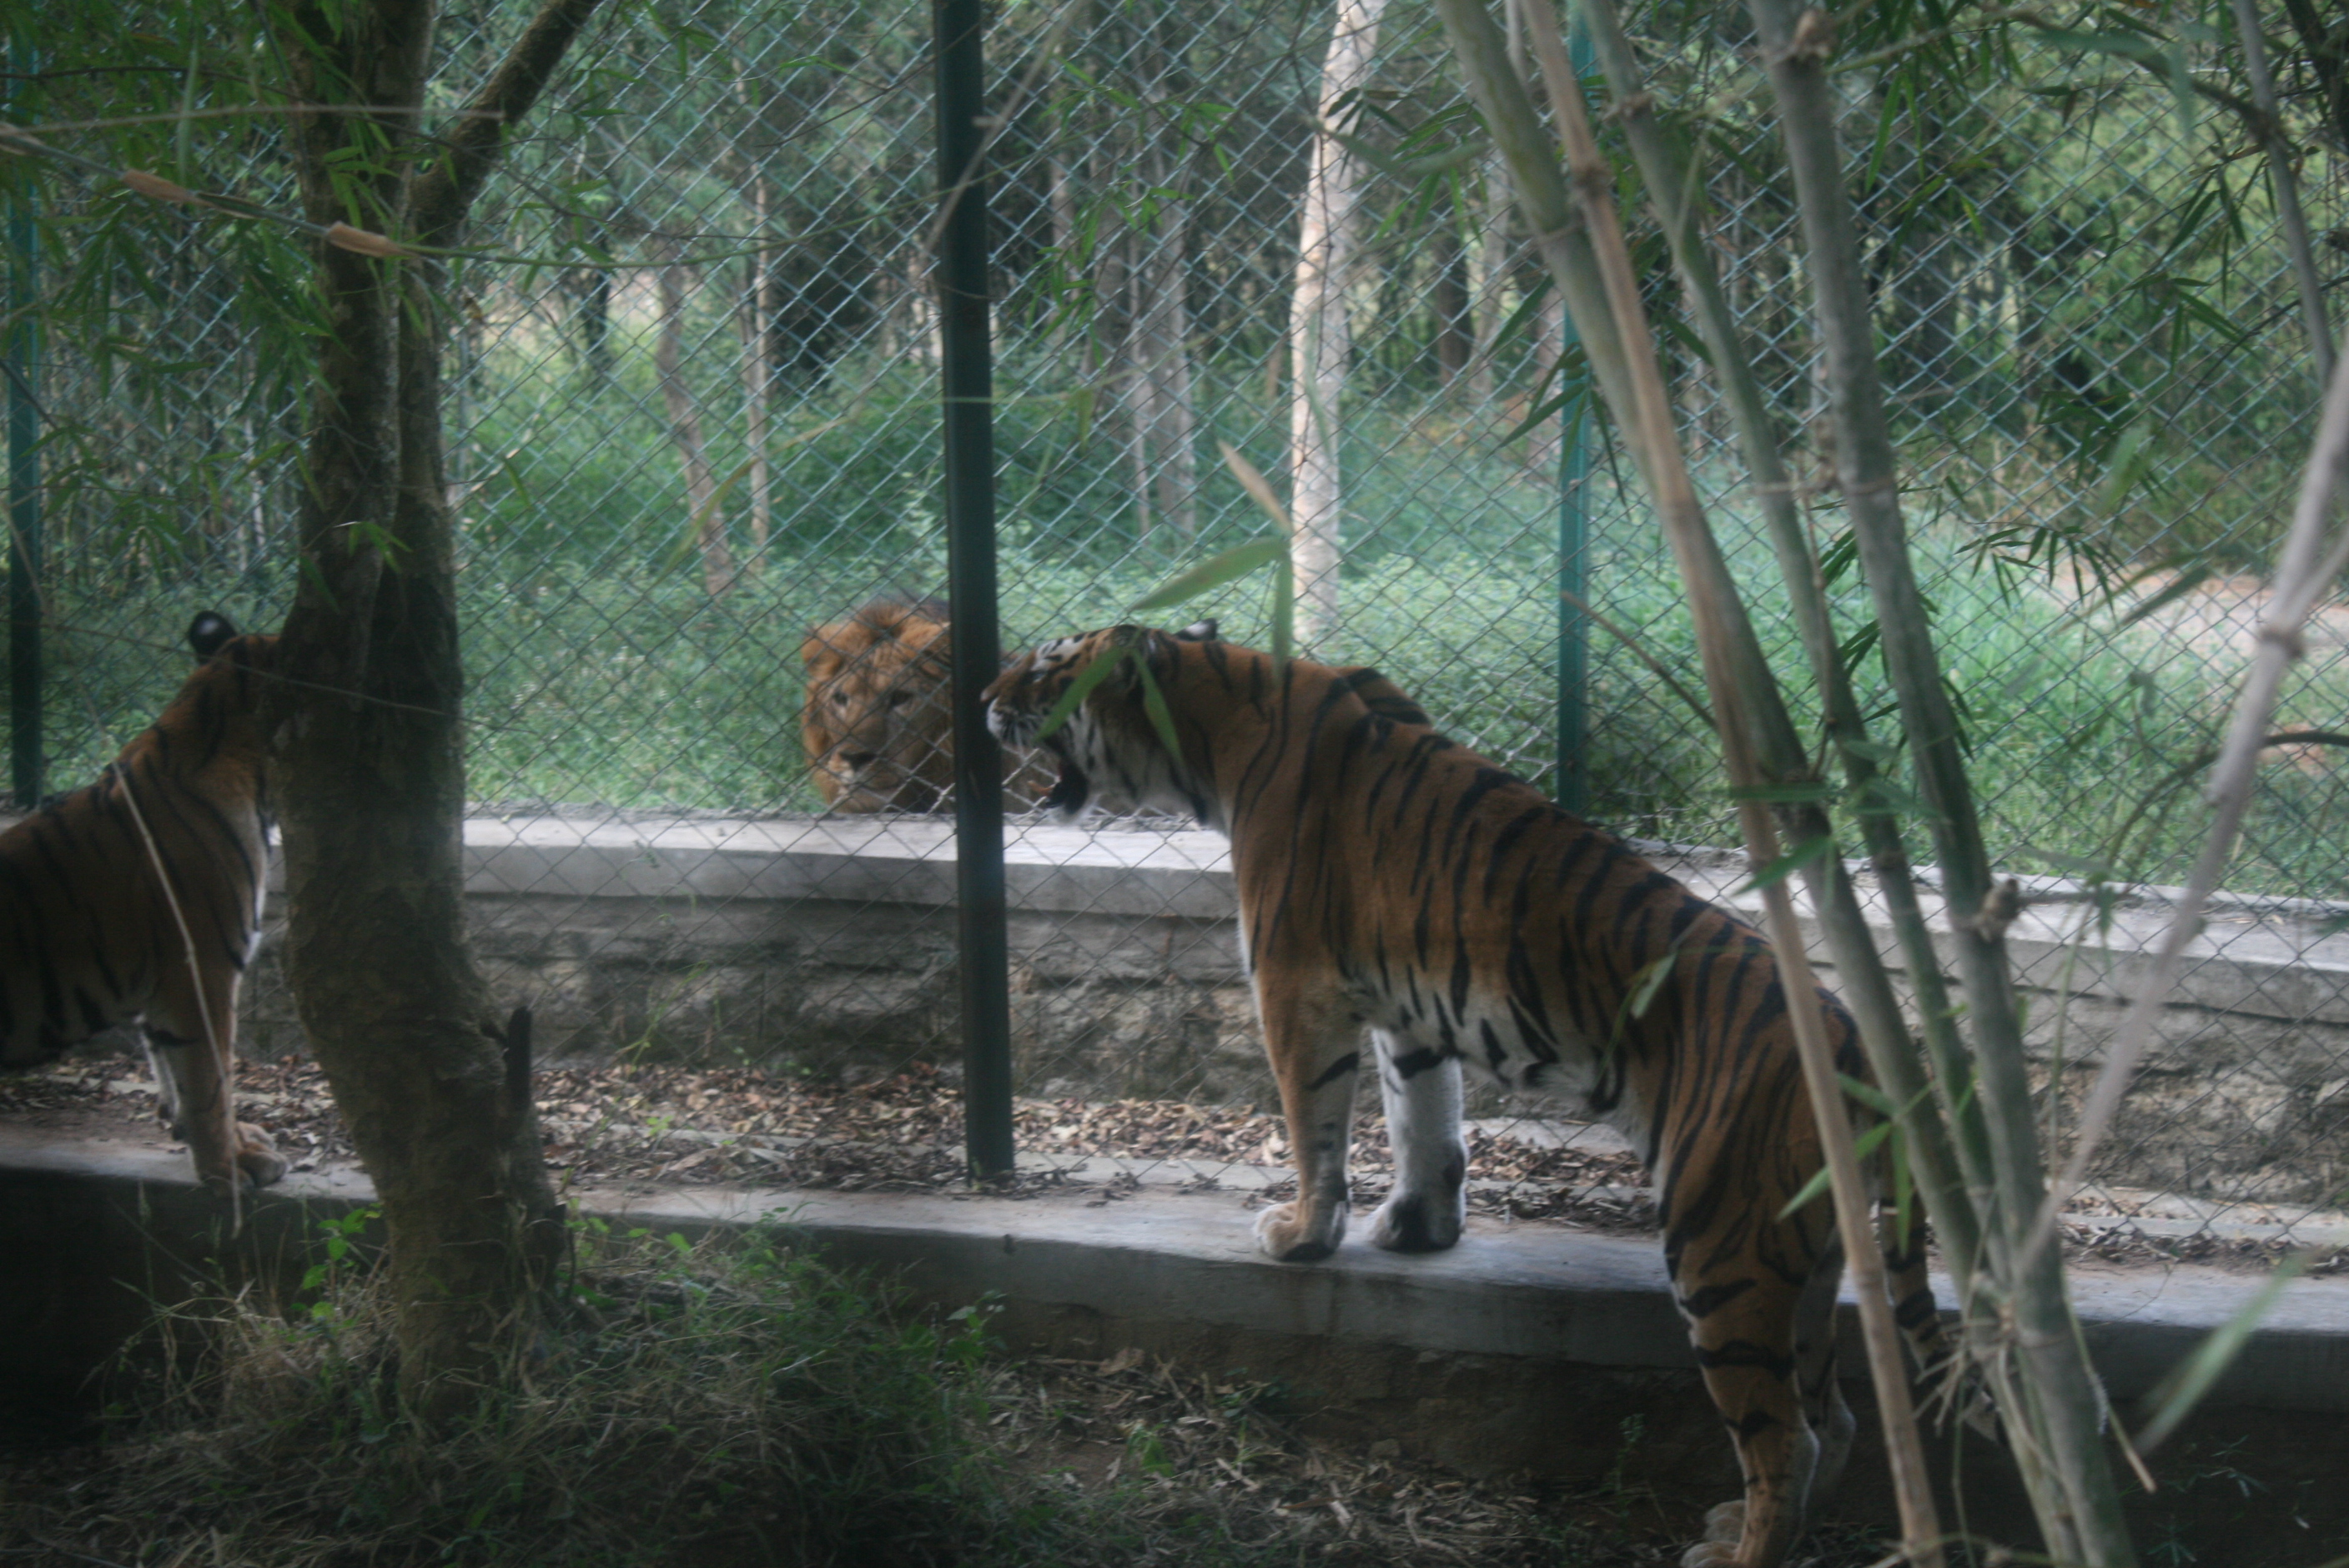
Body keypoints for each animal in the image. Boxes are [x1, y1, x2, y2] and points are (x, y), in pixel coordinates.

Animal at [986, 619, 1964, 1568]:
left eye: (1042, 668)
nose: (985, 697)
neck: (1212, 716)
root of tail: (1861, 1046)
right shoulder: (1408, 1006)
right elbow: (1426, 1120)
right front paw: (1419, 1230)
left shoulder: (1293, 985)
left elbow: (1316, 1124)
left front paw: (1301, 1234)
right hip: (1809, 1258)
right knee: (1838, 1416)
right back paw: (1746, 1525)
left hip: (1721, 1244)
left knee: (1784, 1436)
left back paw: (1737, 1552)